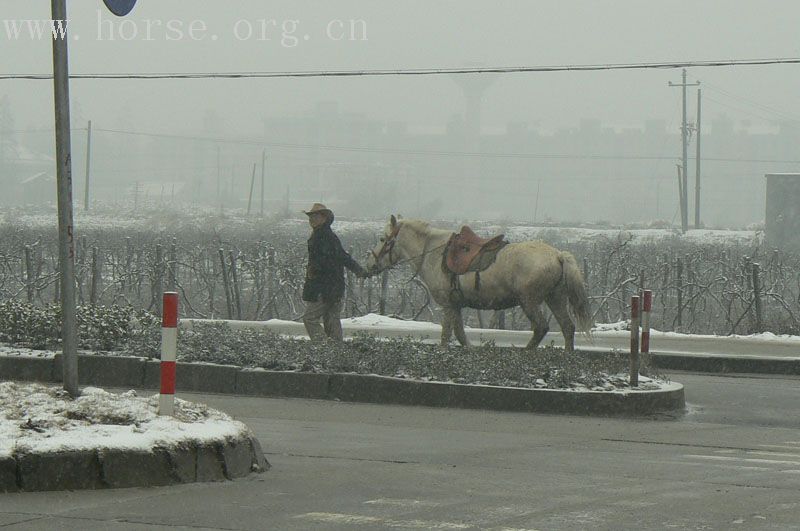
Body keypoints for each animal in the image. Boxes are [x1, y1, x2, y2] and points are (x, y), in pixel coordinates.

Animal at [366, 214, 592, 352]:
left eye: (382, 239)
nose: (369, 264)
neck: (433, 253)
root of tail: (558, 255)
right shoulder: (455, 306)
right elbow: (459, 334)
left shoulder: (447, 305)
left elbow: (446, 335)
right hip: (555, 298)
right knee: (567, 327)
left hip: (529, 301)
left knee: (541, 327)